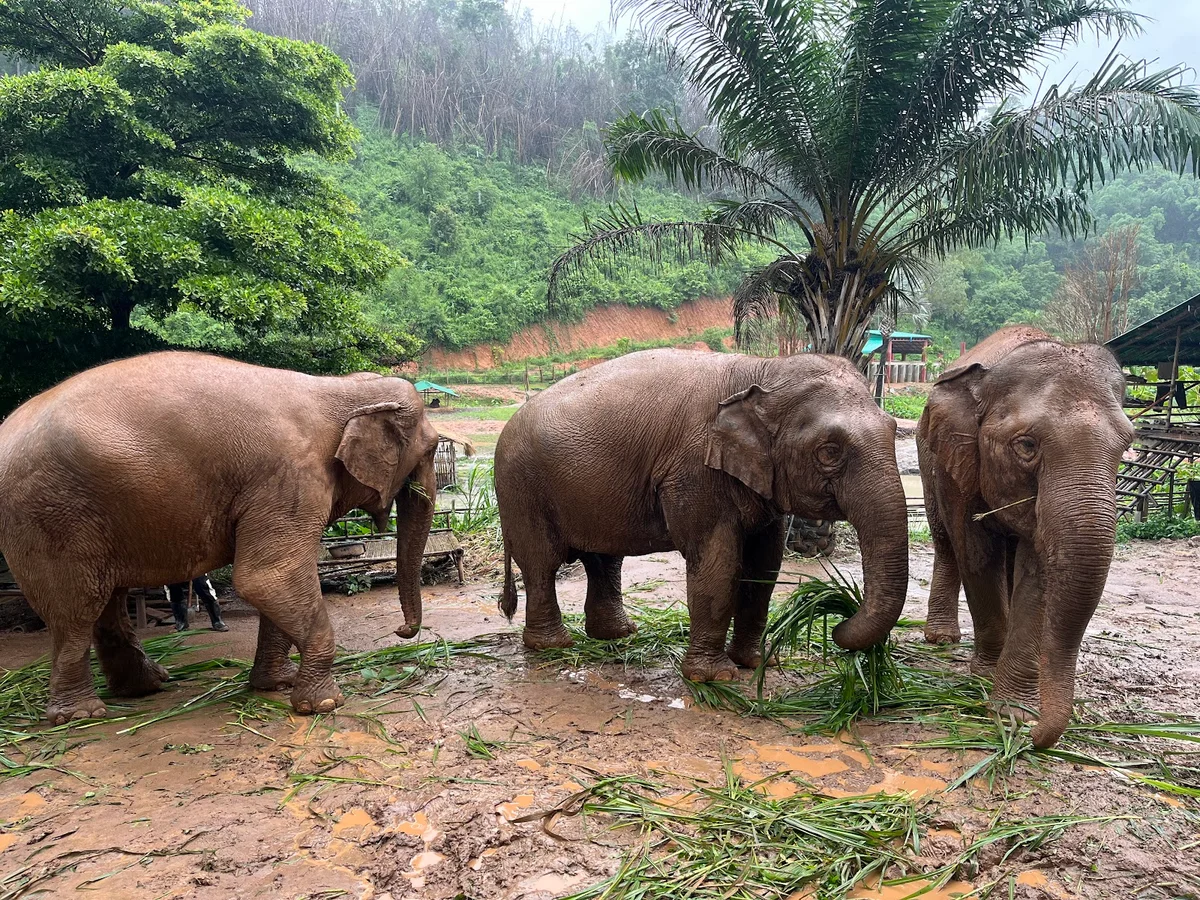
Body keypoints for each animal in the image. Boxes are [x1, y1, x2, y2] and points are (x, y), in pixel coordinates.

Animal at [0, 352, 442, 725]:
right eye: (432, 449)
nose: (401, 633)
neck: (337, 389)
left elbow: (276, 582)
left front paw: (275, 685)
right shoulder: (288, 479)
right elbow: (268, 577)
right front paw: (324, 704)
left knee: (106, 600)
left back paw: (146, 686)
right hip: (51, 514)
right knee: (77, 608)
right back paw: (82, 715)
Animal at [493, 349, 910, 682]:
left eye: (894, 429)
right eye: (829, 451)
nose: (839, 623)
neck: (761, 369)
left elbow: (764, 565)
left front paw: (758, 663)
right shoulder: (694, 473)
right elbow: (718, 564)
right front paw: (714, 678)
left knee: (604, 559)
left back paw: (619, 634)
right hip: (521, 491)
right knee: (542, 563)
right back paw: (553, 646)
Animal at [917, 326, 1135, 748]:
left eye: (1126, 446)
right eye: (1027, 445)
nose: (1033, 737)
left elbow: (1040, 575)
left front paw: (1013, 713)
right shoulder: (959, 459)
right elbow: (976, 553)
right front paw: (987, 679)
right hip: (927, 454)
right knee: (945, 541)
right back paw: (942, 639)